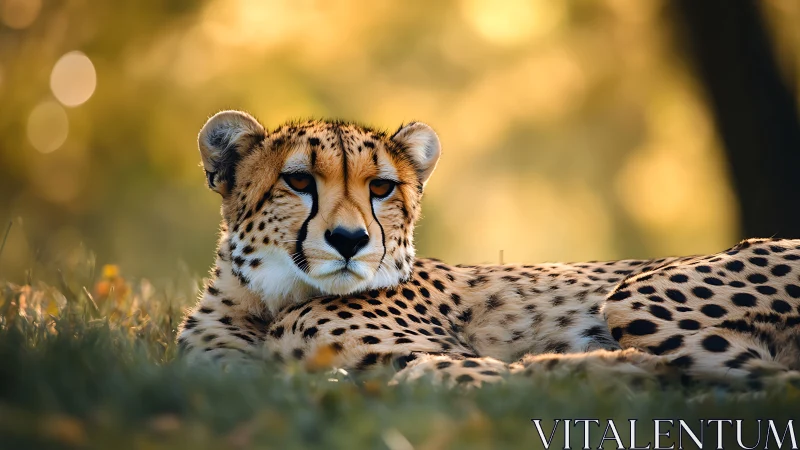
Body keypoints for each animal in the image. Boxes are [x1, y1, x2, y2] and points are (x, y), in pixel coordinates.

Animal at [178, 110, 800, 390]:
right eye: (299, 181)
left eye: (381, 188)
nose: (351, 241)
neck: (270, 302)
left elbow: (459, 372)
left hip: (638, 293)